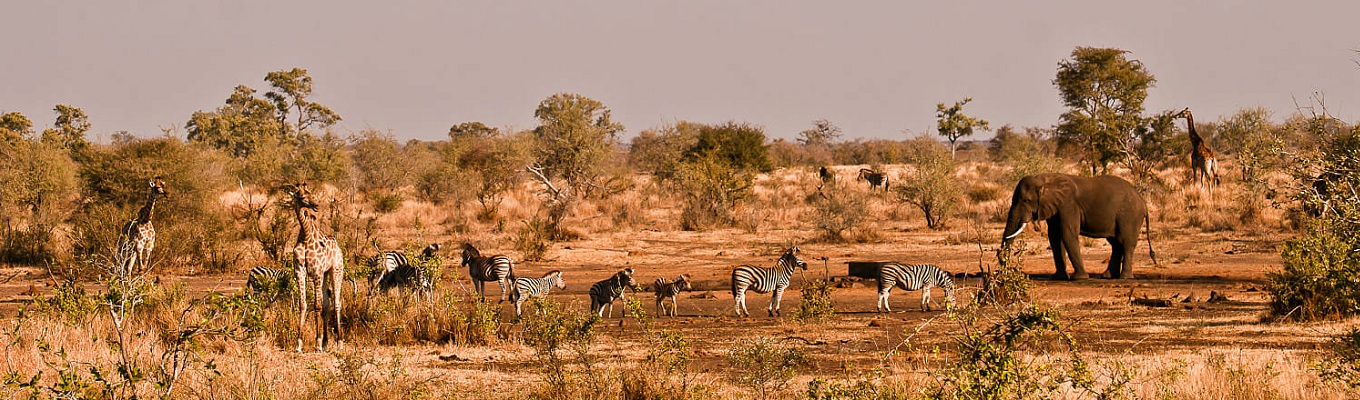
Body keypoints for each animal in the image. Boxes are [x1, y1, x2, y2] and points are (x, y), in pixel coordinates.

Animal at [288, 182, 342, 351]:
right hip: (325, 274)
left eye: (310, 193)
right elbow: (303, 304)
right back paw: (326, 342)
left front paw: (317, 342)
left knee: (337, 303)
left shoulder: (316, 272)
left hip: (336, 270)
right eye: (301, 196)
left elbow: (316, 305)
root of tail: (338, 247)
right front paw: (299, 344)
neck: (306, 236)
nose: (316, 205)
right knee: (327, 303)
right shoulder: (300, 271)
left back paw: (339, 342)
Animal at [1006, 173, 1153, 280]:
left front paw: (1079, 278)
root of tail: (1143, 202)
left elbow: (1068, 234)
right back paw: (1108, 276)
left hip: (1130, 216)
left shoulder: (1068, 205)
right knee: (1116, 244)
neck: (1045, 179)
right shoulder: (1055, 208)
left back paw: (1124, 278)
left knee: (1125, 242)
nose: (1006, 270)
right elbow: (1054, 238)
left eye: (1026, 200)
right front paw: (1059, 278)